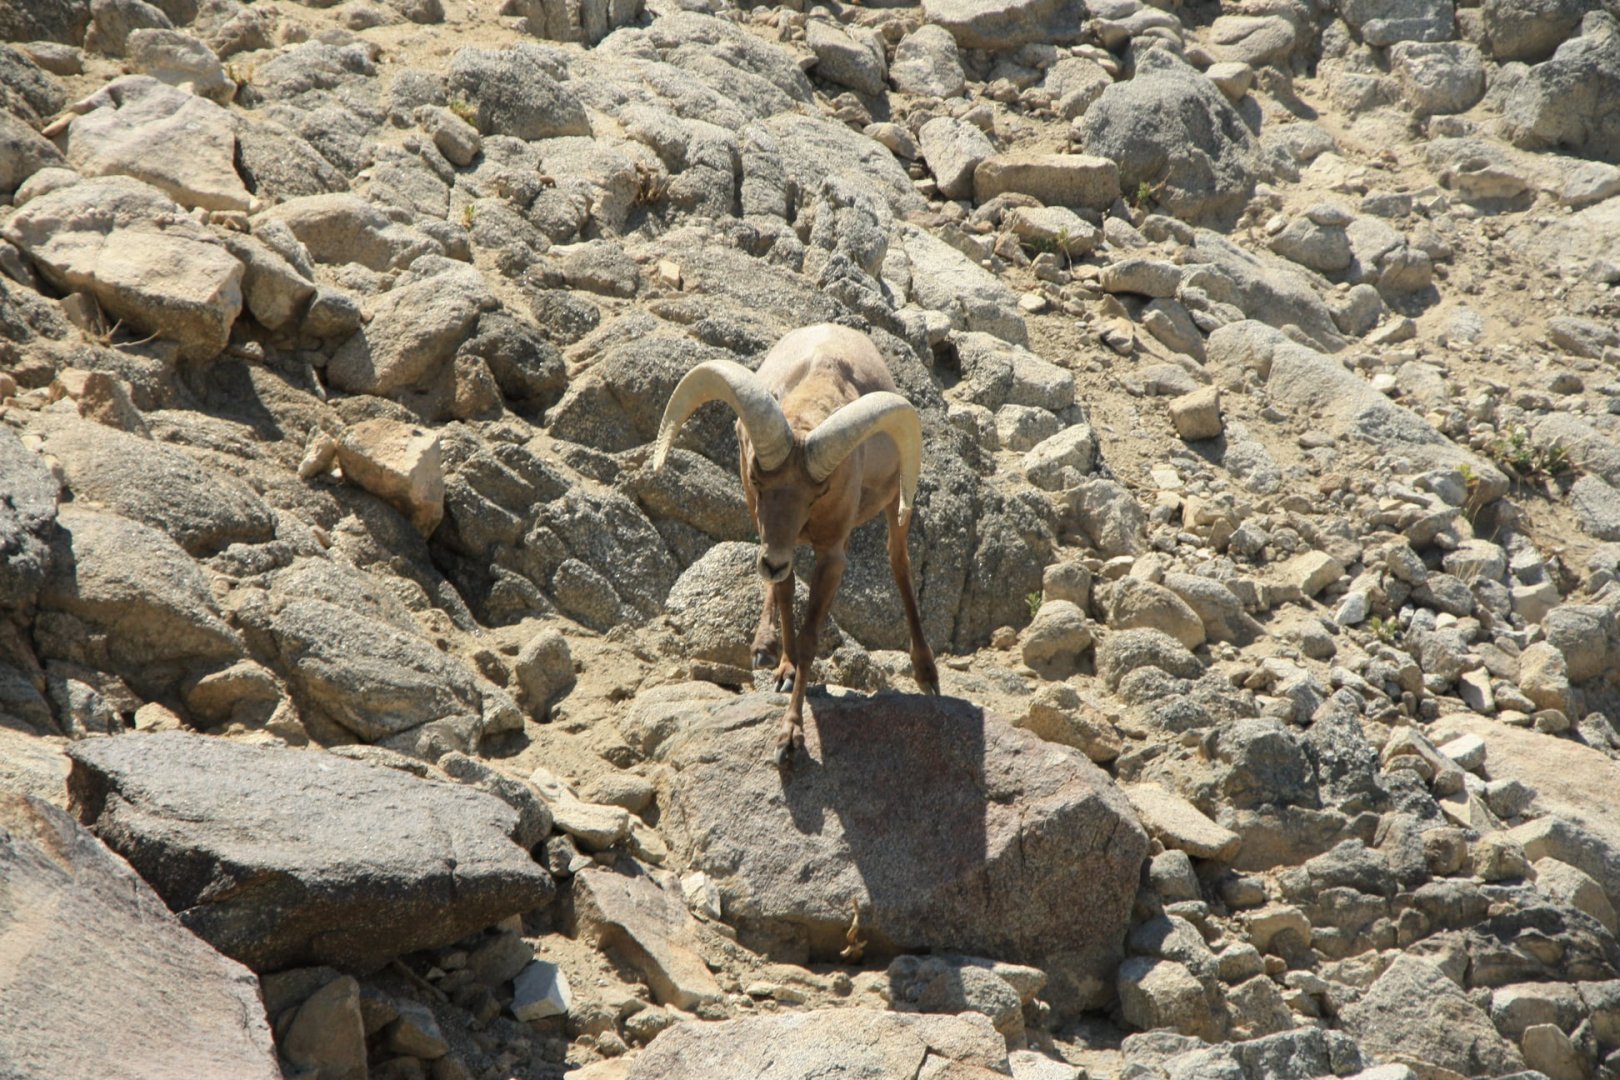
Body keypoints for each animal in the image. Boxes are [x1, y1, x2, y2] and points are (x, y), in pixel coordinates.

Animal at [653, 323, 938, 765]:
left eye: (817, 492)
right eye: (757, 477)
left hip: (896, 505)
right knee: (783, 590)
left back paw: (926, 673)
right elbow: (787, 596)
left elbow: (809, 641)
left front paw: (789, 740)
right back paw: (769, 652)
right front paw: (783, 674)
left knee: (899, 562)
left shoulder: (832, 556)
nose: (771, 562)